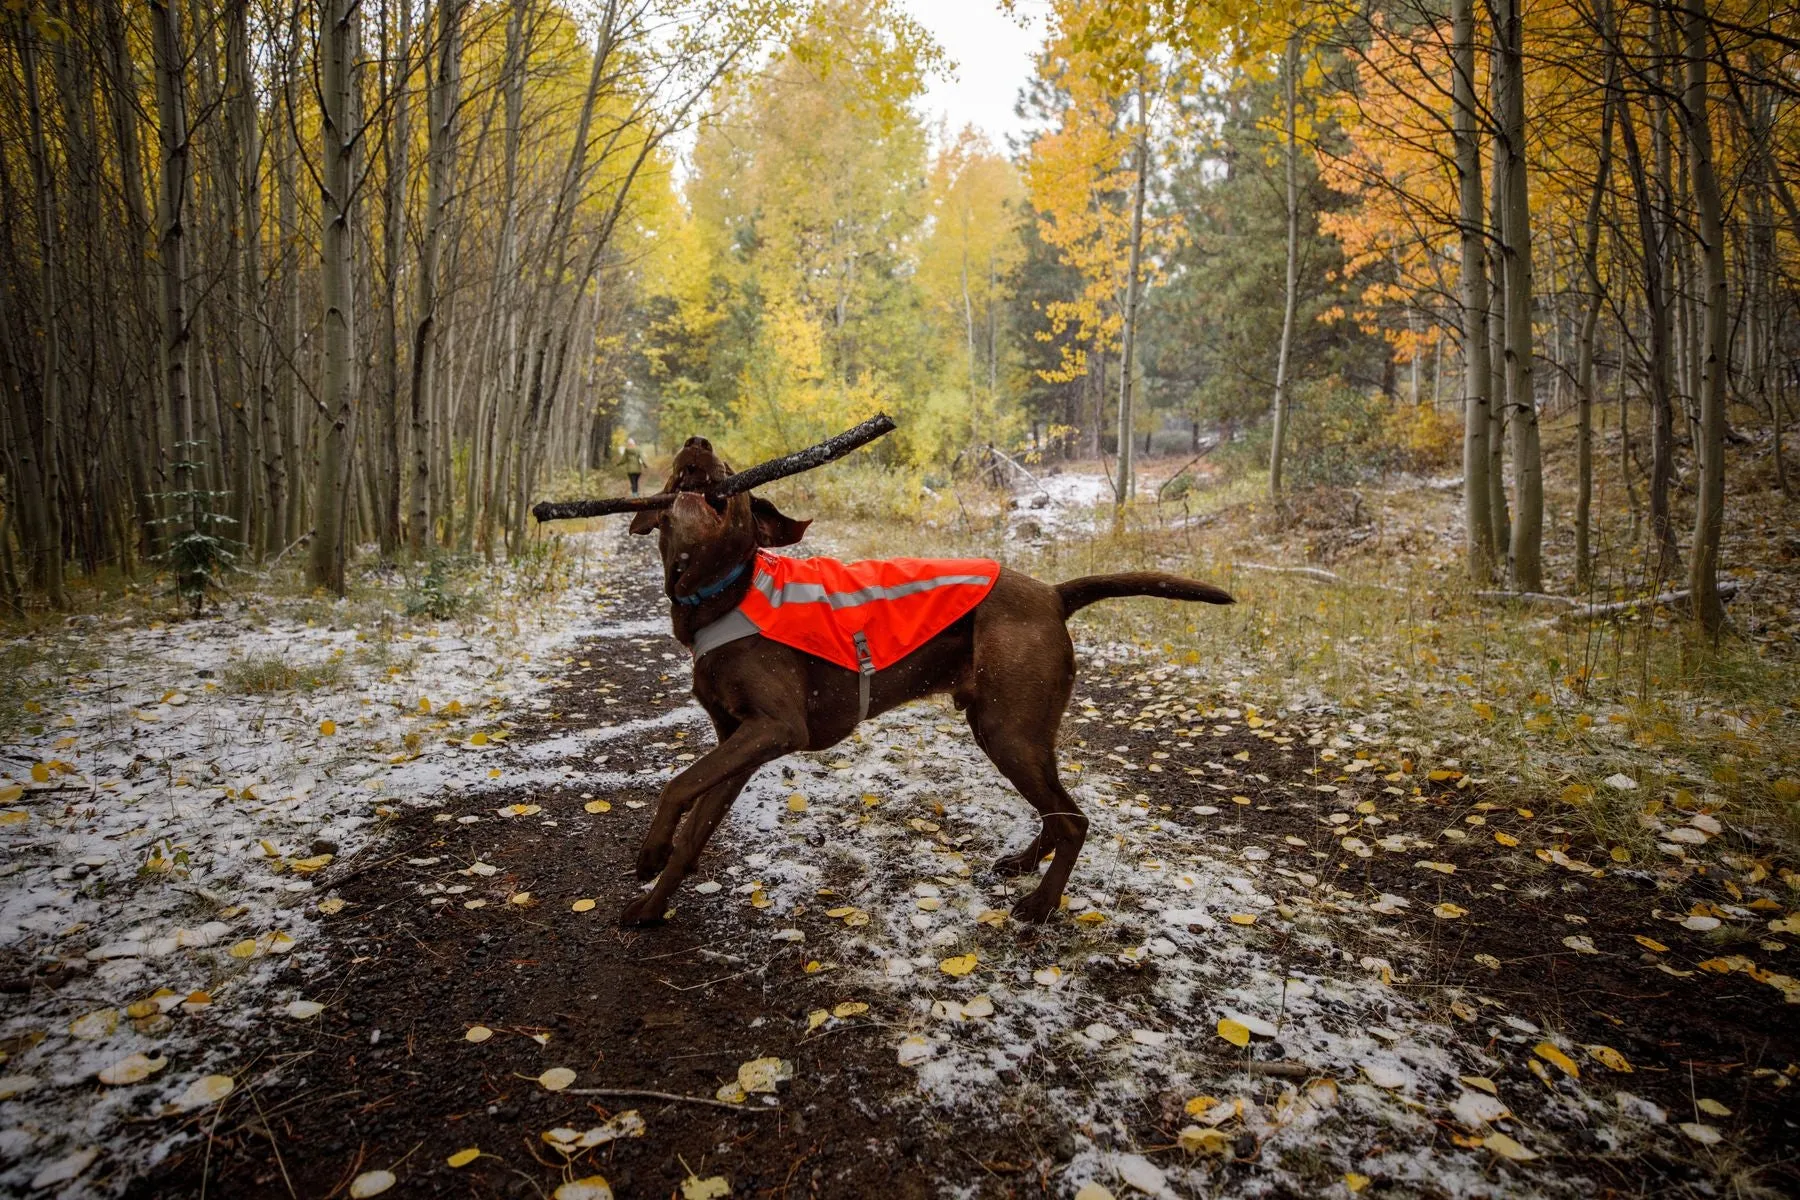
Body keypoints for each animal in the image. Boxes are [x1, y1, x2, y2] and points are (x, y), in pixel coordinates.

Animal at [612, 440, 1231, 928]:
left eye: (733, 467)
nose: (696, 441)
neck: (720, 592)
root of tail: (1053, 594)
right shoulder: (737, 742)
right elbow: (697, 822)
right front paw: (653, 907)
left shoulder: (774, 727)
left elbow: (678, 784)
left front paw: (651, 851)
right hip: (1011, 730)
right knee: (1057, 814)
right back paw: (1024, 865)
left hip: (1008, 731)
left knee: (1073, 820)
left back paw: (1041, 904)